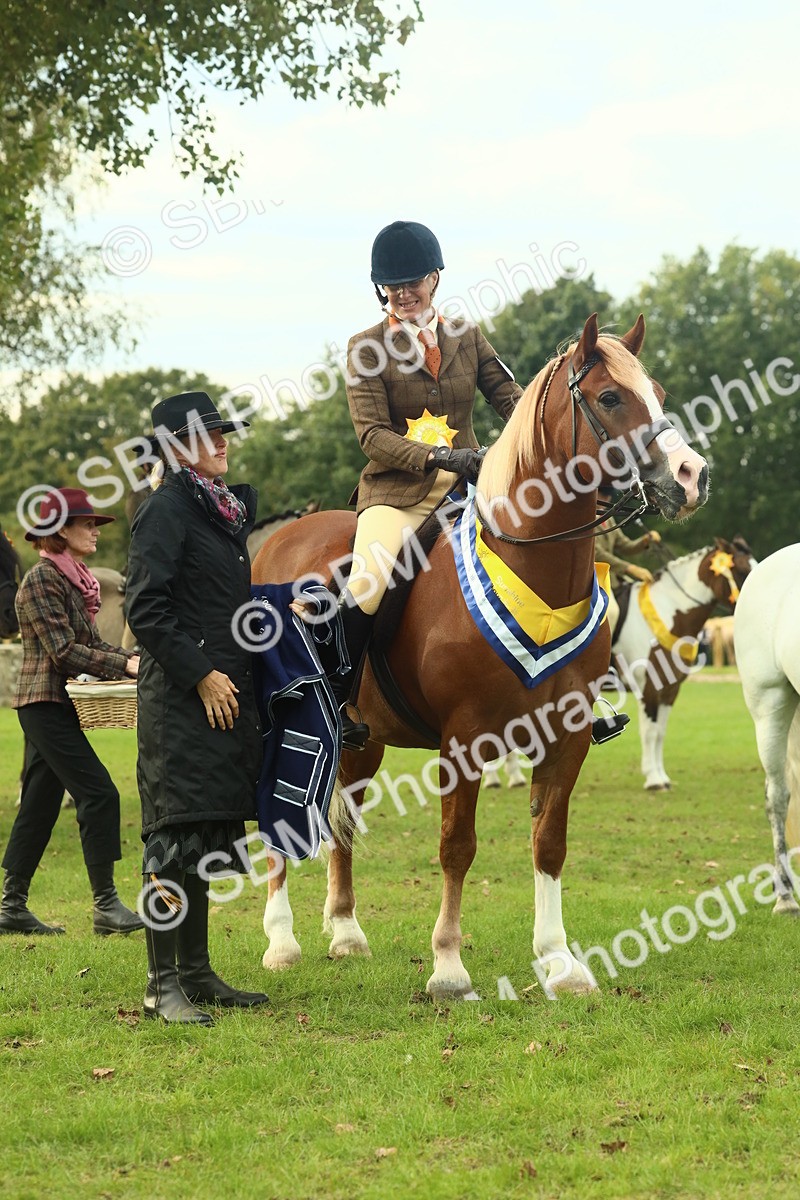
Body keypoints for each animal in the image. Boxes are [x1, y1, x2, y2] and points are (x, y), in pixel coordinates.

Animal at [252, 314, 709, 999]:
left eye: (655, 390)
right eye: (609, 397)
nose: (691, 475)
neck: (535, 570)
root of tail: (279, 537)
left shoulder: (566, 735)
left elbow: (549, 843)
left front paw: (558, 962)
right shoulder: (464, 740)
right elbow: (457, 846)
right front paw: (447, 966)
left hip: (363, 739)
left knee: (346, 821)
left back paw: (346, 933)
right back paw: (282, 942)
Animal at [612, 536, 755, 791]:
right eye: (742, 569)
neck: (668, 613)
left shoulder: (670, 690)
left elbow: (660, 733)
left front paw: (662, 778)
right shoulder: (649, 688)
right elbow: (649, 732)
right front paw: (653, 780)